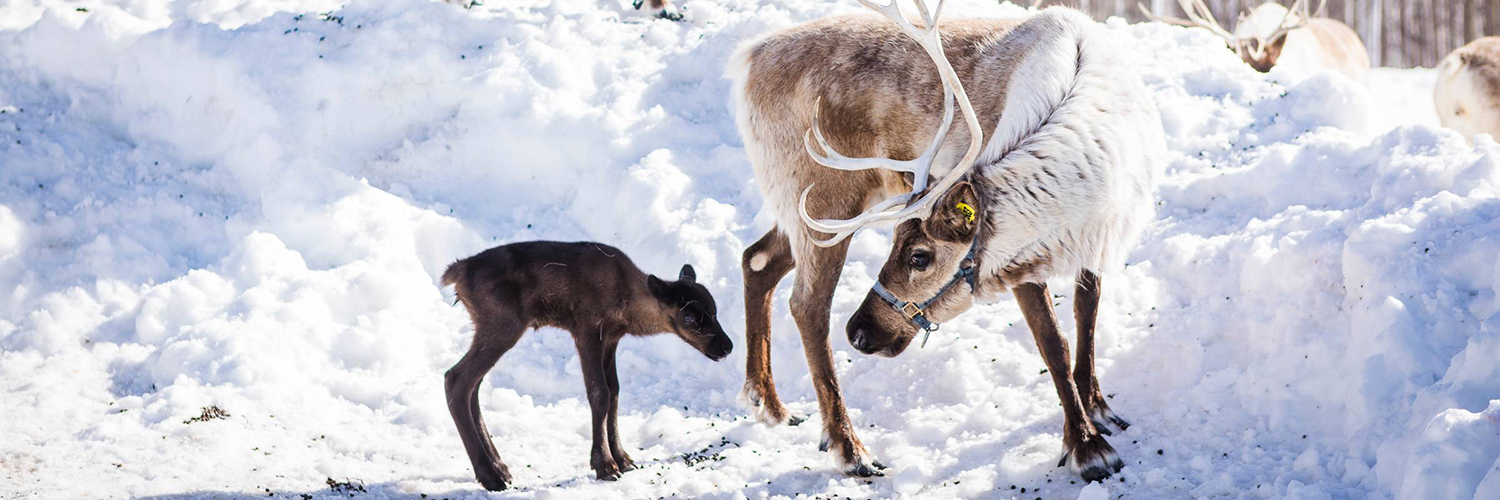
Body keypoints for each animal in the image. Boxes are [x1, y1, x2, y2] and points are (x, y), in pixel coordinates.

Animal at [438, 240, 732, 489]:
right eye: (689, 318)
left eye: (714, 310)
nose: (727, 346)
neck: (626, 301)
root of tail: (456, 272)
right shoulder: (587, 330)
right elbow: (599, 393)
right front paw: (605, 465)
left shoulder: (611, 339)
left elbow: (615, 392)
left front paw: (623, 459)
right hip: (502, 325)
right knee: (456, 378)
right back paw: (490, 476)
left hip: (492, 329)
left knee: (473, 386)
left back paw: (500, 468)